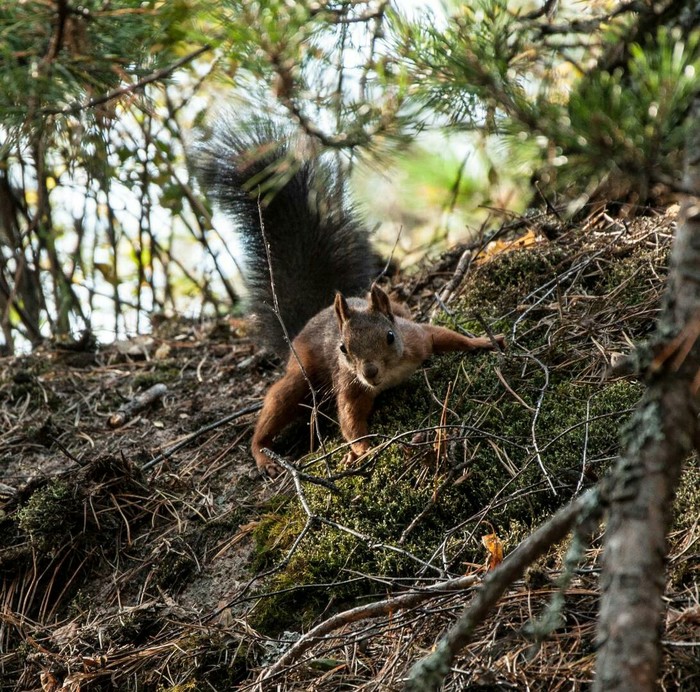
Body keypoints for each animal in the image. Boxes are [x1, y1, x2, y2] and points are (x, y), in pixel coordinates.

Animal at [194, 119, 506, 476]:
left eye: (390, 337)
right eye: (343, 348)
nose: (369, 372)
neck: (388, 375)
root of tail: (310, 320)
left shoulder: (416, 339)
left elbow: (442, 335)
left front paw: (482, 341)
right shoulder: (350, 383)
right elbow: (351, 419)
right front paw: (363, 450)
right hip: (301, 376)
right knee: (276, 405)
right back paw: (263, 453)